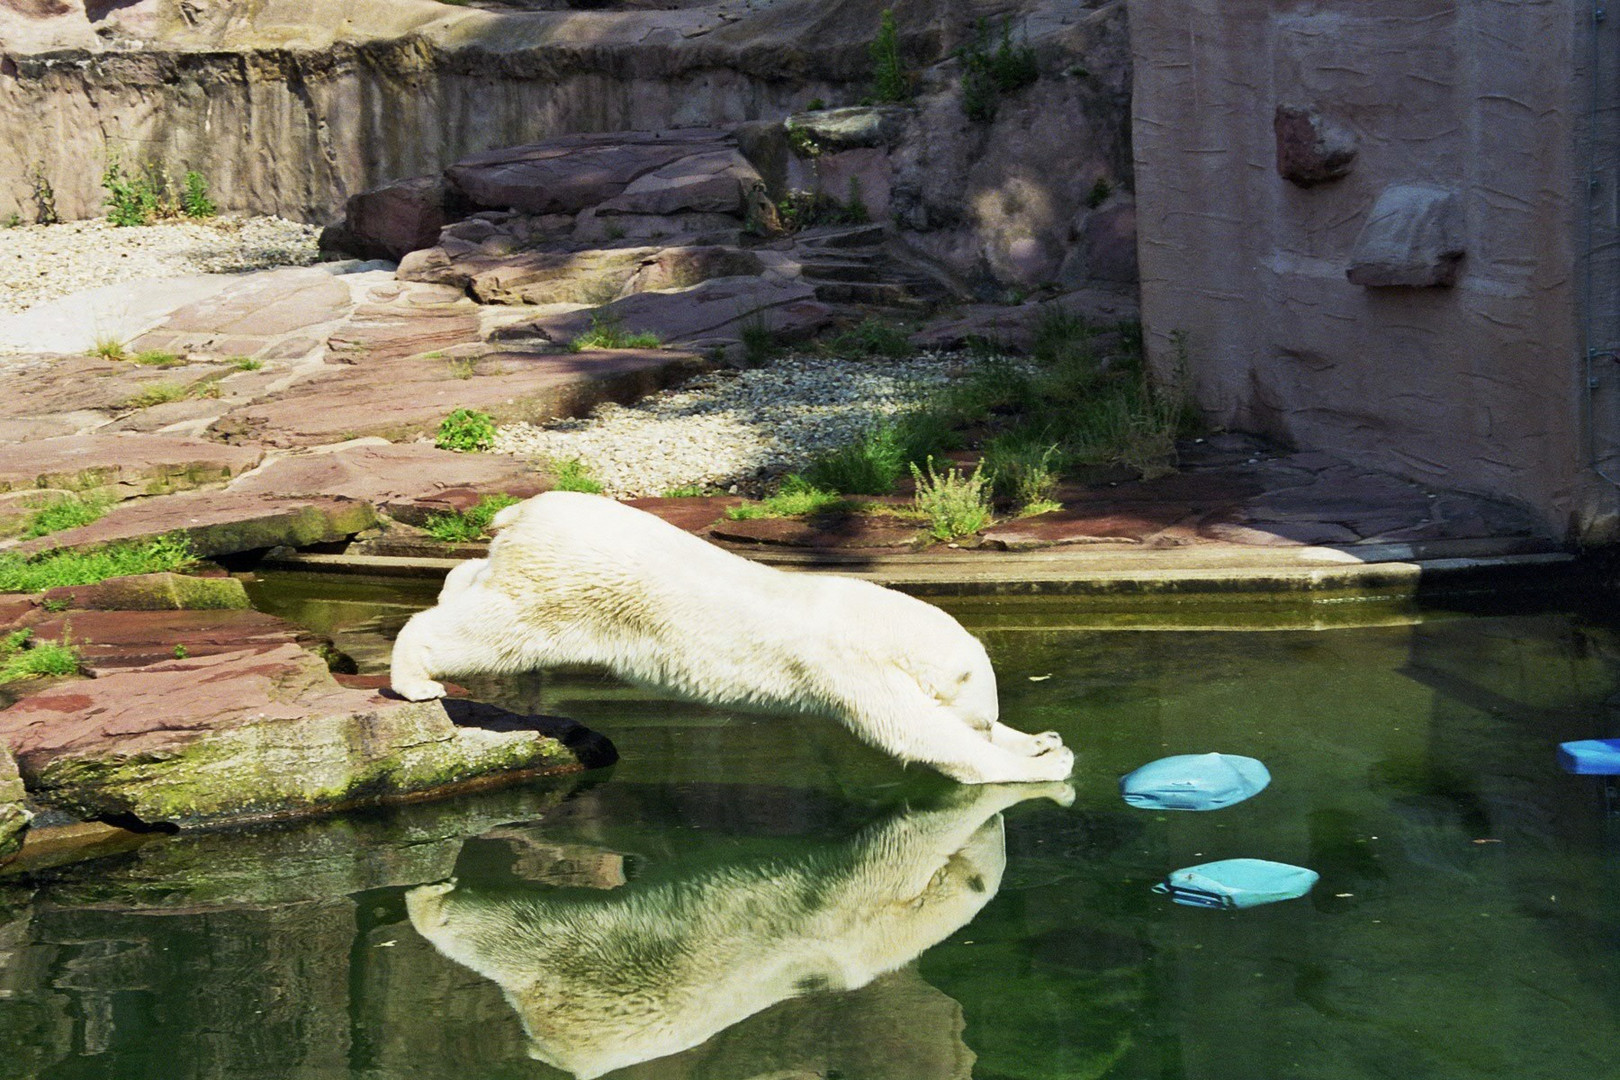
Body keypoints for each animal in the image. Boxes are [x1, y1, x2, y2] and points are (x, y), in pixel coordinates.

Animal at [388, 492, 1075, 786]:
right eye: (978, 720)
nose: (988, 725)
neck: (874, 616)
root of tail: (523, 511)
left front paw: (1042, 739)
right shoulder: (851, 667)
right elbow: (915, 733)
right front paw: (1041, 766)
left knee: (480, 585)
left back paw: (454, 582)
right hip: (567, 592)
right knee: (496, 633)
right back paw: (415, 679)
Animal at [405, 780, 1069, 1075]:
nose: (998, 832)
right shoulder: (858, 906)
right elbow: (903, 841)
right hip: (601, 963)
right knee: (512, 929)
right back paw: (429, 897)